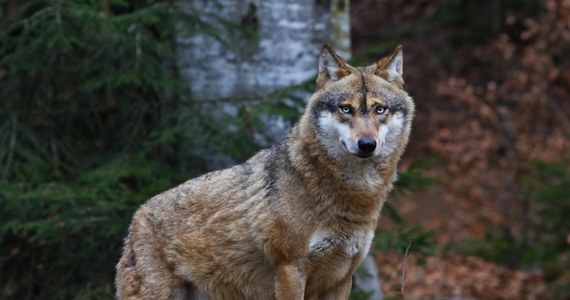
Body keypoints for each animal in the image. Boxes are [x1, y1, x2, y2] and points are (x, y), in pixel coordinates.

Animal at [115, 43, 414, 298]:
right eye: (346, 109)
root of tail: (136, 216)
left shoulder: (341, 279)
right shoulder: (290, 270)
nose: (367, 145)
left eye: (379, 110)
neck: (354, 196)